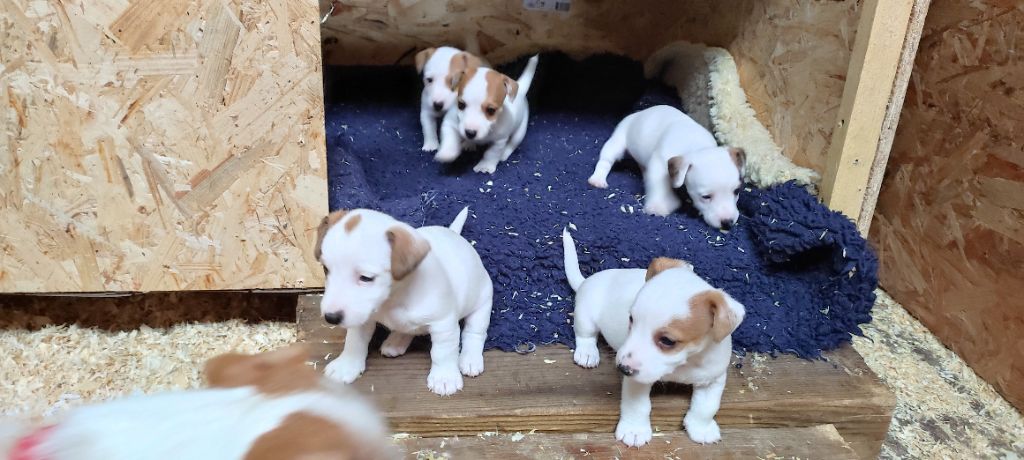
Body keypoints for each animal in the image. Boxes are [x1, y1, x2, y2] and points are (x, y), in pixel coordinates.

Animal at [315, 205, 491, 395]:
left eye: (366, 278)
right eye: (326, 269)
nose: (330, 318)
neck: (393, 298)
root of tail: (453, 234)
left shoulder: (443, 325)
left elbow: (443, 353)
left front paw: (445, 377)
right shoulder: (362, 319)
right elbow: (354, 342)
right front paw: (346, 366)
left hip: (482, 305)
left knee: (474, 333)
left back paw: (470, 358)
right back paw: (396, 341)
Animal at [565, 227, 749, 446]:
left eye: (668, 341)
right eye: (631, 319)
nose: (622, 368)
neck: (686, 362)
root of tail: (587, 280)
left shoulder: (713, 379)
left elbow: (707, 407)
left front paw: (701, 428)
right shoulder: (637, 379)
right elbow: (638, 406)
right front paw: (634, 430)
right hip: (585, 316)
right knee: (585, 335)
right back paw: (587, 353)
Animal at [589, 103, 749, 229]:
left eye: (736, 191)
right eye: (705, 197)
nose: (728, 223)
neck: (697, 146)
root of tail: (639, 113)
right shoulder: (660, 163)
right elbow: (659, 184)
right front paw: (658, 206)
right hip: (617, 140)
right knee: (606, 160)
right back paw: (598, 179)